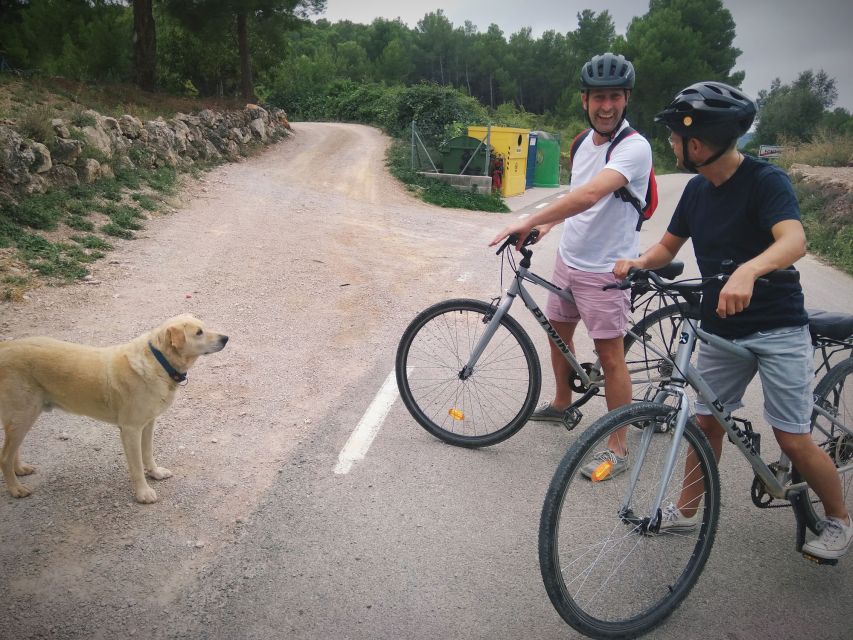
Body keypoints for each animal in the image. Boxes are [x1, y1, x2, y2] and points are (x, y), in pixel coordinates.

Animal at [0, 316, 226, 504]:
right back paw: (16, 489)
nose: (226, 338)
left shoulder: (148, 423)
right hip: (23, 415)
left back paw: (20, 469)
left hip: (22, 417)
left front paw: (155, 473)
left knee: (12, 450)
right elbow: (137, 466)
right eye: (199, 332)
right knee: (4, 457)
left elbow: (148, 452)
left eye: (204, 327)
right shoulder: (130, 430)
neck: (159, 361)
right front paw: (143, 493)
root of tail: (5, 347)